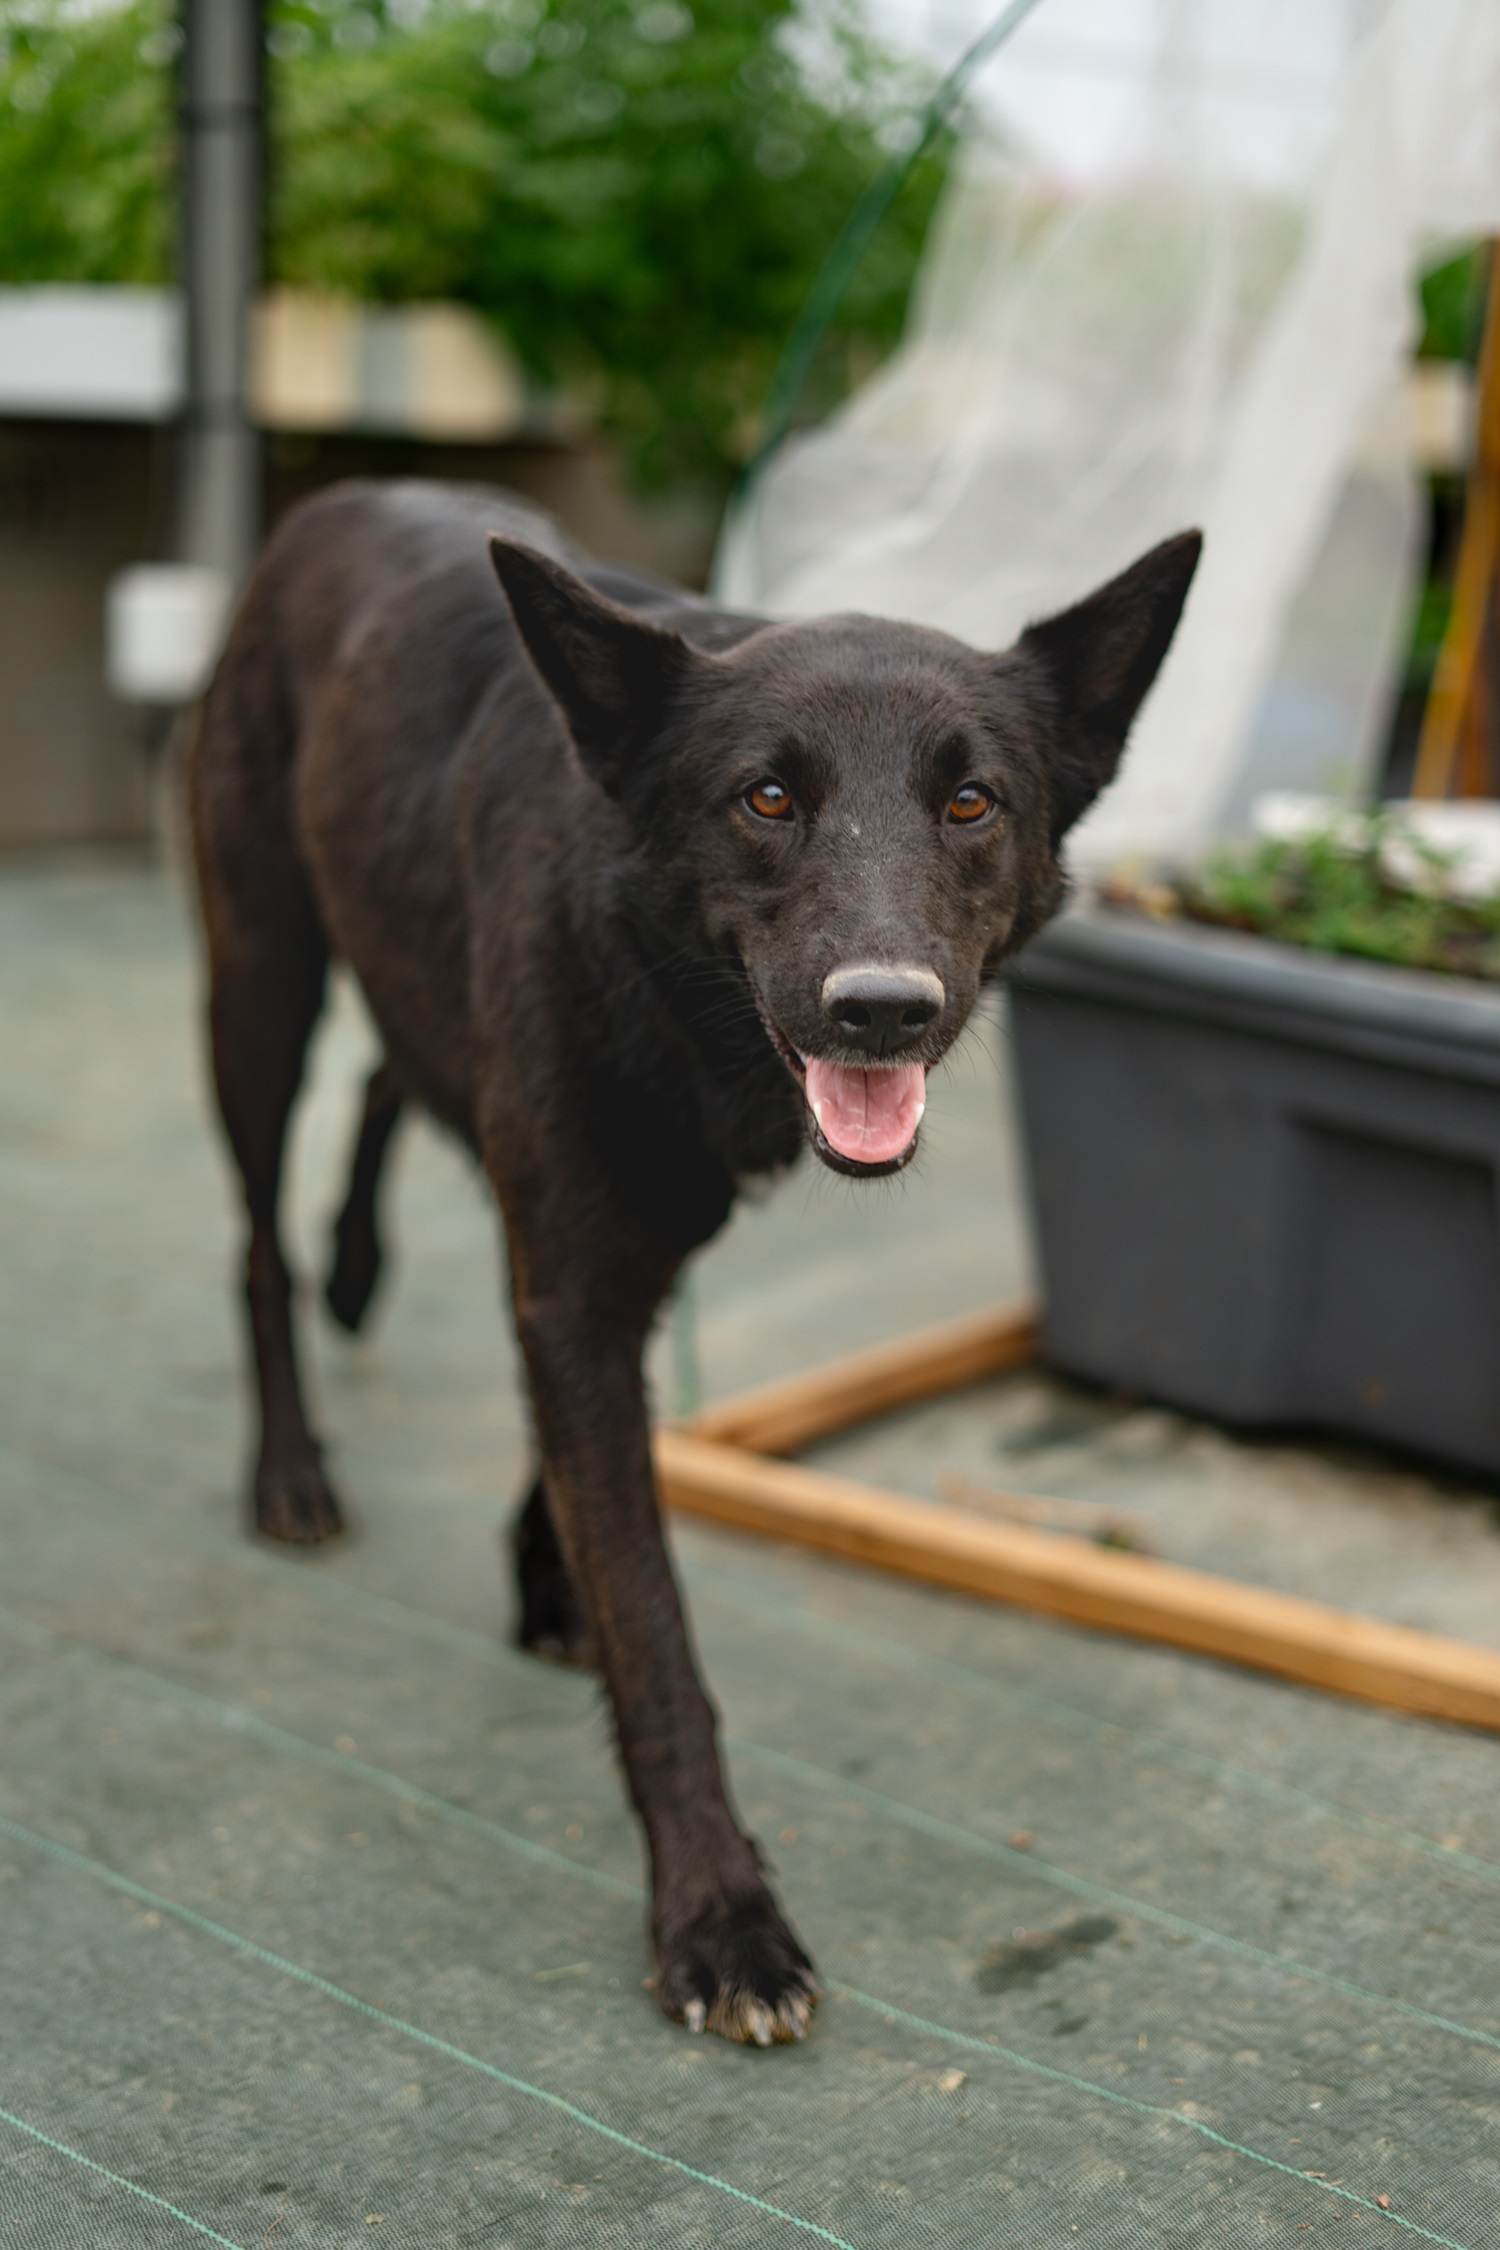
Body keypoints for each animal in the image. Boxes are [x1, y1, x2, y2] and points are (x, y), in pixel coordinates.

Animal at [191, 483, 1196, 2052]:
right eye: (765, 798)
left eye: (972, 802)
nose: (882, 1011)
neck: (669, 991)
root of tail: (344, 500)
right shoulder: (579, 1280)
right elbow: (658, 1628)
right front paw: (721, 1919)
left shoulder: (618, 1267)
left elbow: (578, 1469)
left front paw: (549, 1580)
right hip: (258, 983)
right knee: (257, 1239)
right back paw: (291, 1468)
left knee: (393, 1075)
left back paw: (361, 1269)